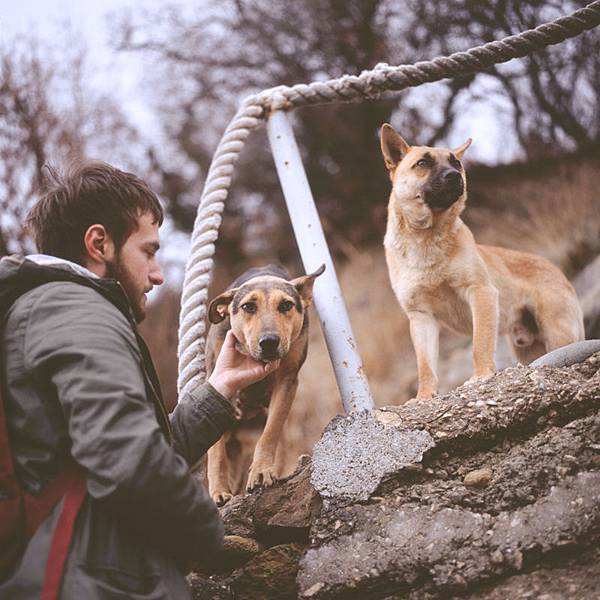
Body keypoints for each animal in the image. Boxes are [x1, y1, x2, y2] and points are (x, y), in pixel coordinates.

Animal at [204, 264, 324, 504]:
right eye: (248, 307)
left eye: (286, 305)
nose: (269, 342)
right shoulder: (217, 379)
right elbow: (216, 452)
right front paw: (218, 491)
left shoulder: (287, 380)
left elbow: (271, 431)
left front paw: (261, 471)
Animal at [382, 123, 584, 400]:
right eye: (422, 163)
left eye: (456, 163)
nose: (454, 176)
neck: (426, 240)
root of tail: (558, 270)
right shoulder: (421, 317)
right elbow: (425, 366)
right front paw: (424, 396)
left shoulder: (480, 292)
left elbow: (480, 344)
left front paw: (481, 376)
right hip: (530, 350)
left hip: (559, 337)